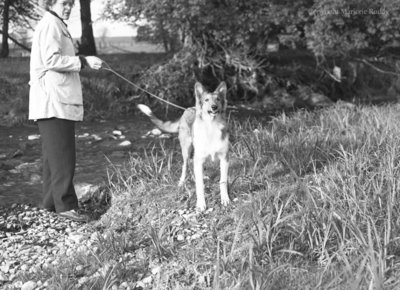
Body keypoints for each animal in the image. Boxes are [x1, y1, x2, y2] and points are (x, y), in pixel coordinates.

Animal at [138, 81, 230, 211]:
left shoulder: (224, 159)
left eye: (218, 99)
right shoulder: (199, 159)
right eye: (206, 100)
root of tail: (188, 109)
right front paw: (201, 204)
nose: (214, 107)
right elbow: (199, 186)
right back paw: (182, 182)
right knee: (185, 165)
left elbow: (223, 181)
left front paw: (225, 199)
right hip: (187, 149)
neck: (211, 126)